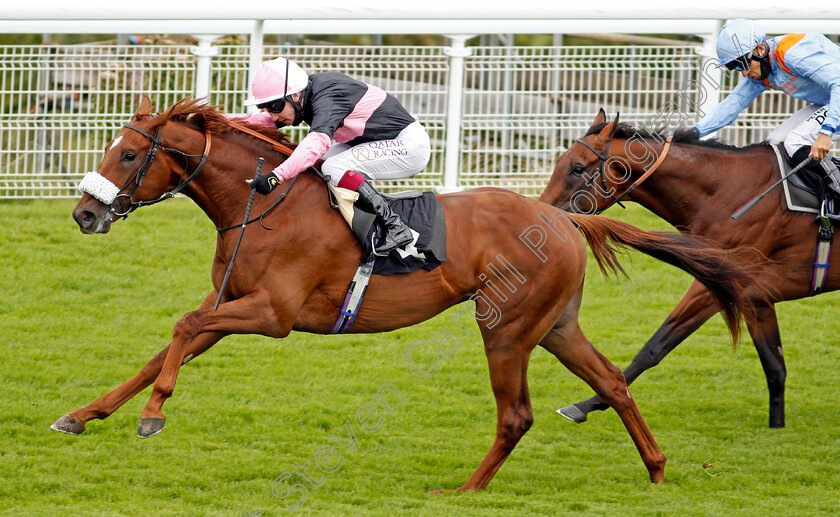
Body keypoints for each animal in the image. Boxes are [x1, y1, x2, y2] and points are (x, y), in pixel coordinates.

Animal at [57, 95, 756, 488]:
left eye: (127, 156)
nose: (84, 215)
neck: (263, 203)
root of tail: (561, 218)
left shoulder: (272, 312)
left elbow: (180, 330)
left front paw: (152, 415)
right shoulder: (229, 303)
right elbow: (167, 345)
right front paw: (84, 414)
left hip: (505, 327)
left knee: (517, 414)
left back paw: (464, 492)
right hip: (555, 326)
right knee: (610, 381)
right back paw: (656, 469)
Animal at [540, 109, 820, 428]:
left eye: (577, 168)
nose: (542, 213)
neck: (729, 195)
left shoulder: (717, 282)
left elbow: (655, 345)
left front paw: (586, 404)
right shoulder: (756, 295)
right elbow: (775, 366)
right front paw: (776, 426)